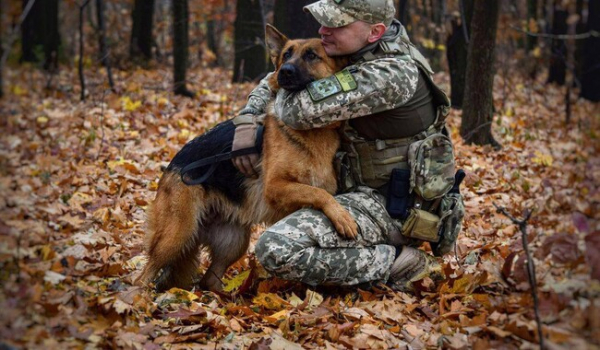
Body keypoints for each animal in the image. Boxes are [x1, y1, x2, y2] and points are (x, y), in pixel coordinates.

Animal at [137, 25, 356, 292]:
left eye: (312, 56)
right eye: (286, 54)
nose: (284, 71)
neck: (310, 133)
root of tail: (173, 165)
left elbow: (320, 193)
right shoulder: (276, 186)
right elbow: (319, 193)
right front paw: (343, 217)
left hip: (234, 242)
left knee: (209, 279)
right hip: (177, 234)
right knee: (144, 273)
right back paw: (137, 296)